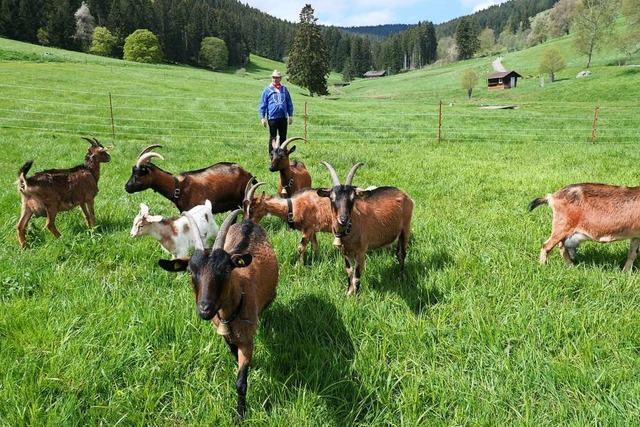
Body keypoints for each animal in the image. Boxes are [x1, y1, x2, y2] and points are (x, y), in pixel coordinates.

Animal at [158, 209, 278, 420]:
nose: (205, 309)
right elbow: (233, 354)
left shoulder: (247, 340)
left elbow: (241, 382)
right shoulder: (226, 335)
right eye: (190, 271)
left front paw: (240, 414)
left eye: (227, 269)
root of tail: (247, 221)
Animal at [316, 162, 416, 296]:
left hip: (405, 229)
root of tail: (405, 195)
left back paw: (401, 278)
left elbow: (357, 276)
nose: (343, 219)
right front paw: (348, 293)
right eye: (332, 198)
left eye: (352, 198)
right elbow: (349, 272)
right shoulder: (345, 252)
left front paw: (356, 297)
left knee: (402, 254)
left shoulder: (361, 251)